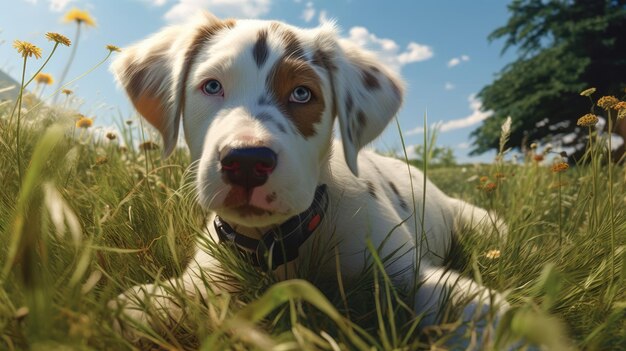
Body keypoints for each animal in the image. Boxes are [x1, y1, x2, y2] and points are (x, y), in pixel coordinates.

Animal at [107, 11, 508, 350]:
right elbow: (137, 305)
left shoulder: (404, 274)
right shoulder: (204, 275)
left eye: (302, 93)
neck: (278, 243)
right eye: (211, 86)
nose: (247, 162)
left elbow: (471, 307)